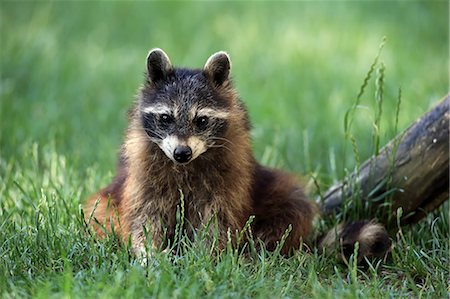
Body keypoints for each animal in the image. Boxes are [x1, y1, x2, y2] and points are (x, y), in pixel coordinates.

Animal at [85, 48, 390, 260]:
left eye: (202, 121)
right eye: (166, 118)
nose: (182, 153)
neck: (188, 165)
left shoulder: (229, 177)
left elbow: (218, 219)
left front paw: (203, 258)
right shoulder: (143, 175)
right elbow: (145, 217)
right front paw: (149, 255)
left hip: (274, 190)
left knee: (292, 206)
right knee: (100, 211)